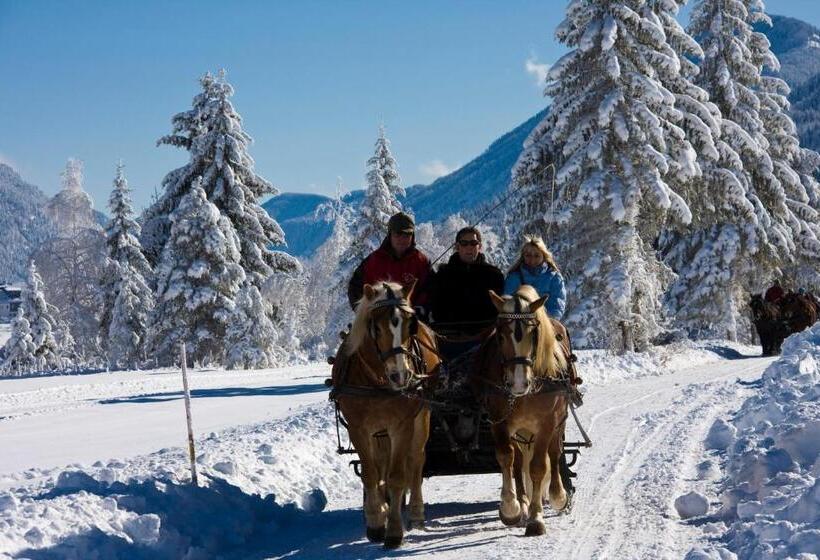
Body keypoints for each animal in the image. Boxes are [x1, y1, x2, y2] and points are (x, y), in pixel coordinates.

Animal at [330, 280, 442, 548]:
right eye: (376, 327)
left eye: (410, 325)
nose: (400, 376)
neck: (377, 381)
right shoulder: (358, 427)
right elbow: (370, 474)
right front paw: (375, 522)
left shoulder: (402, 425)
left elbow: (398, 475)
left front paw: (393, 531)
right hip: (378, 431)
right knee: (381, 462)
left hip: (422, 415)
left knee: (416, 461)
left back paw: (416, 513)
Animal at [474, 286, 572, 536]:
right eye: (500, 335)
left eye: (534, 334)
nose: (519, 384)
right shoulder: (499, 421)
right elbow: (506, 457)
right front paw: (512, 507)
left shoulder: (547, 423)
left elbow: (539, 466)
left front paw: (536, 518)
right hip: (520, 430)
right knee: (518, 461)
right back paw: (524, 501)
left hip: (559, 420)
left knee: (554, 453)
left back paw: (557, 495)